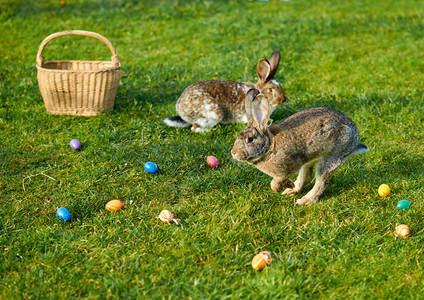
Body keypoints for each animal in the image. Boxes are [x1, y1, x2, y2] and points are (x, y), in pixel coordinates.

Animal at [232, 89, 368, 205]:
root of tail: (355, 139)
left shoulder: (288, 167)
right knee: (307, 176)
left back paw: (305, 200)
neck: (269, 146)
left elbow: (275, 183)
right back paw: (292, 191)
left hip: (331, 158)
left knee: (321, 181)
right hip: (308, 160)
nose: (233, 153)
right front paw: (290, 185)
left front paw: (286, 185)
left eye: (250, 139)